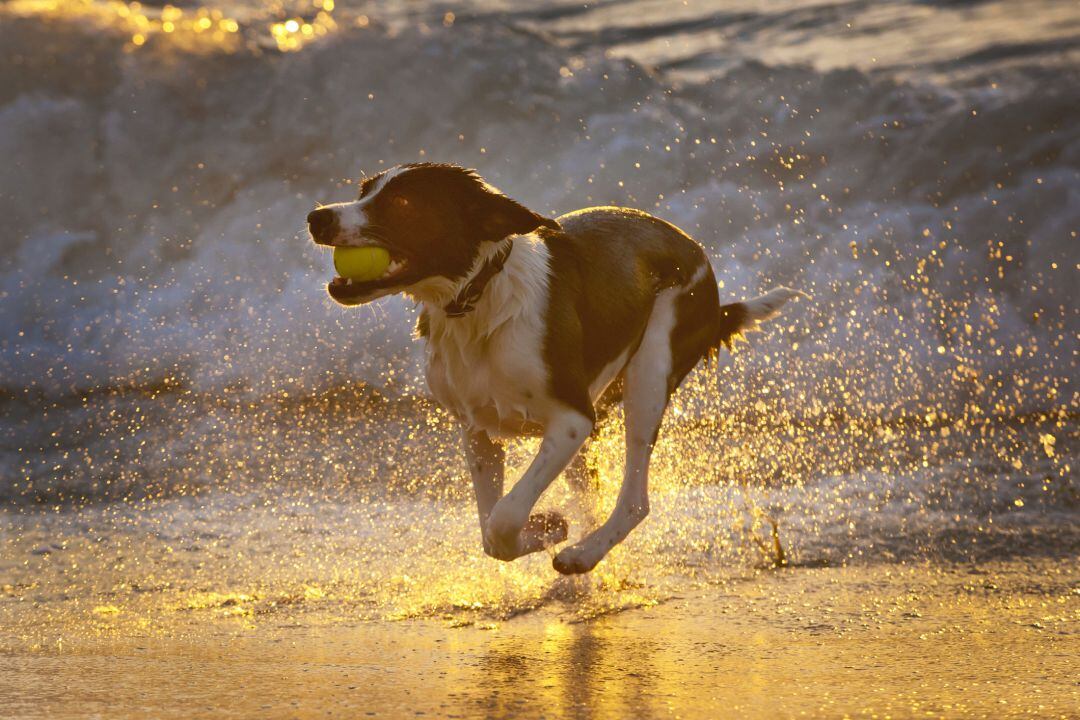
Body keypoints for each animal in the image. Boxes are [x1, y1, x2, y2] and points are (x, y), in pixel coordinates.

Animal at [306, 162, 803, 574]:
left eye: (402, 203)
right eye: (364, 190)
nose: (317, 217)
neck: (477, 301)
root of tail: (702, 262)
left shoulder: (572, 419)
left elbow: (504, 516)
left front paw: (550, 528)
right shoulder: (476, 426)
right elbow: (490, 531)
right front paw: (545, 527)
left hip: (653, 363)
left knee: (636, 499)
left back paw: (582, 556)